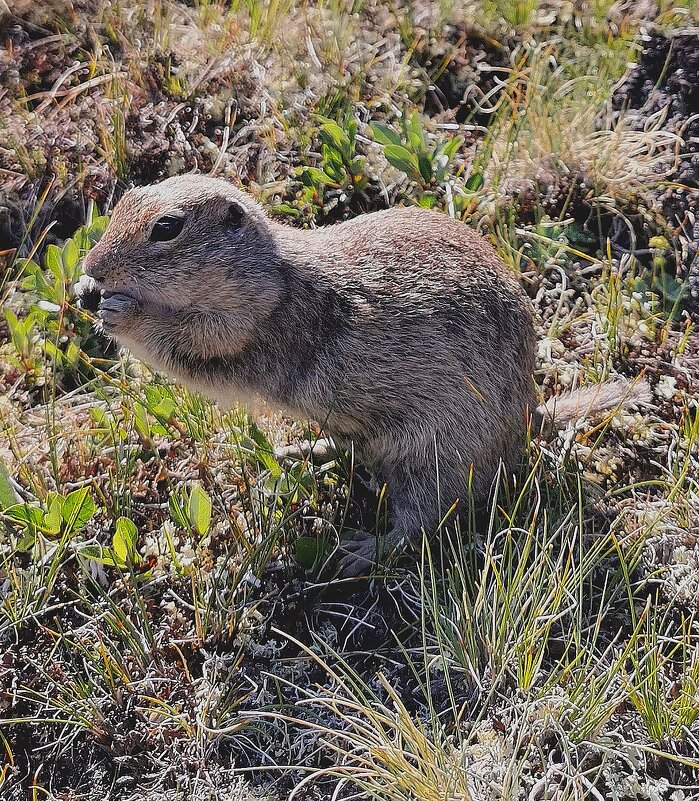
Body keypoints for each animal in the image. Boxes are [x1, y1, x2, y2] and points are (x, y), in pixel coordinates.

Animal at [79, 176, 648, 576]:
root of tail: (529, 420)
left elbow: (181, 348)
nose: (91, 267)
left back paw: (363, 549)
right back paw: (303, 450)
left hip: (432, 457)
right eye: (125, 201)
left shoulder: (247, 336)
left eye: (167, 227)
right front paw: (88, 295)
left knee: (425, 520)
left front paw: (120, 311)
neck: (275, 276)